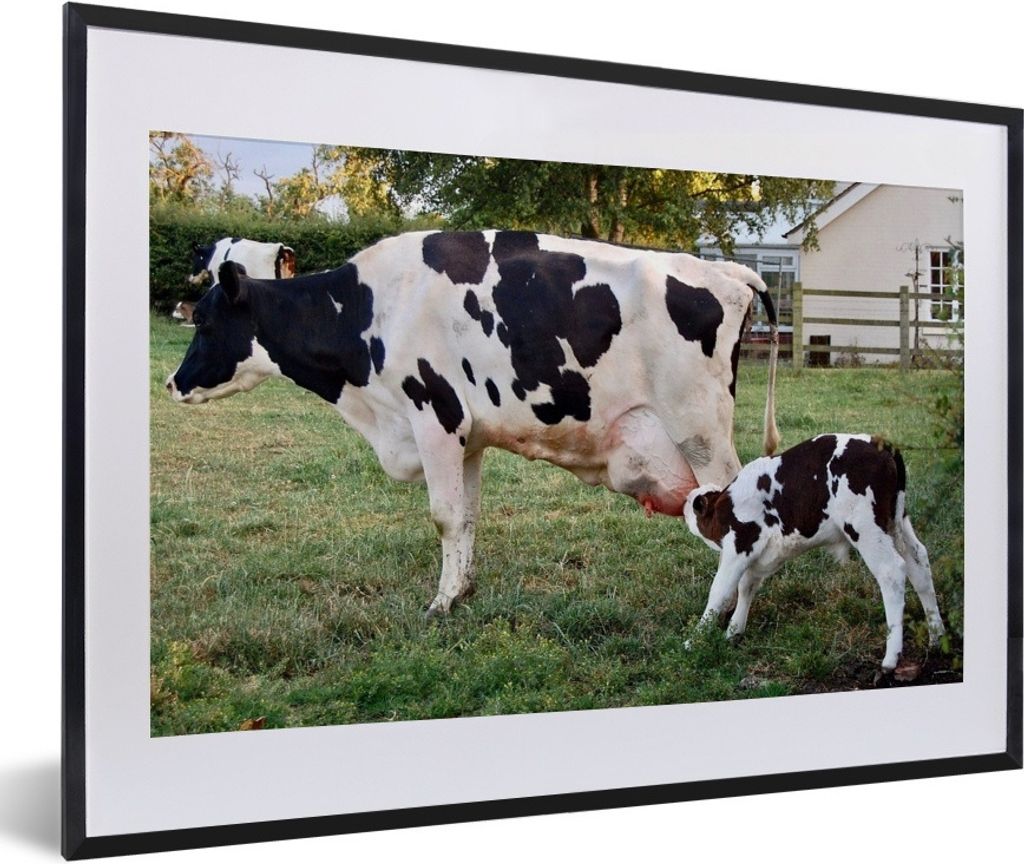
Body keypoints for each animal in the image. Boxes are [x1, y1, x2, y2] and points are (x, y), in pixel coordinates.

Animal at [167, 230, 780, 616]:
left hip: (699, 432)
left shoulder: (433, 416)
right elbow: (465, 517)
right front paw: (460, 591)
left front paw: (438, 605)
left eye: (205, 321)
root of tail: (722, 268)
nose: (171, 383)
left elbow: (442, 516)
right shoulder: (466, 438)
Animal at [683, 434, 945, 670]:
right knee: (919, 563)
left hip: (866, 528)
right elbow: (746, 586)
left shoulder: (740, 545)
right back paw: (936, 637)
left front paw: (695, 639)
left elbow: (720, 590)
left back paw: (891, 658)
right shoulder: (764, 555)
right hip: (897, 522)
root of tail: (880, 444)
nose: (686, 499)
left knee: (892, 572)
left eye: (697, 505)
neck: (727, 505)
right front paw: (734, 631)